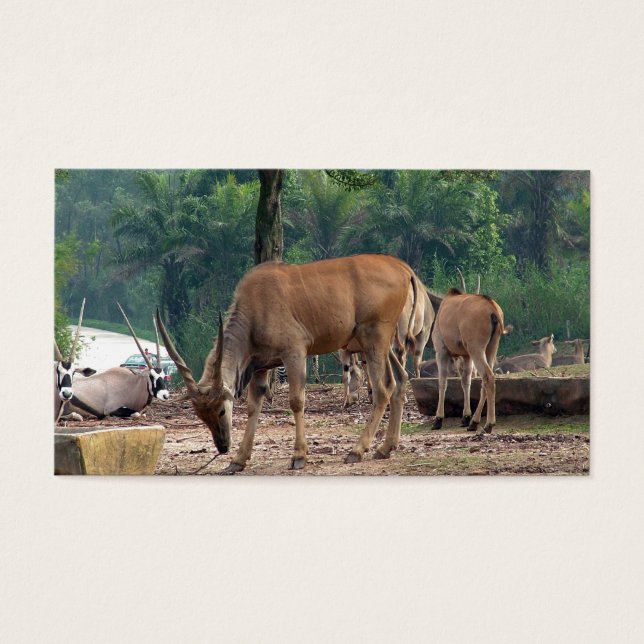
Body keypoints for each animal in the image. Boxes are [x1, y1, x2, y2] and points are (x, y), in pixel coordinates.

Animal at [156, 254, 420, 473]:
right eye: (201, 416)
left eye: (221, 410)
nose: (222, 447)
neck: (255, 309)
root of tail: (403, 268)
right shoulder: (260, 367)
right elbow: (253, 406)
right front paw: (238, 460)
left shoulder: (294, 352)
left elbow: (296, 401)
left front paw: (299, 456)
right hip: (383, 344)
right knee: (399, 382)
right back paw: (385, 448)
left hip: (373, 338)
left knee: (383, 389)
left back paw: (357, 450)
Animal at [431, 288, 508, 433]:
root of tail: (493, 309)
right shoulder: (466, 356)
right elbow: (466, 382)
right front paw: (466, 417)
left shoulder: (441, 352)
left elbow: (442, 382)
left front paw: (438, 419)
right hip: (491, 349)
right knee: (485, 380)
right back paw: (474, 422)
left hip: (476, 349)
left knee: (488, 376)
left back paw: (488, 424)